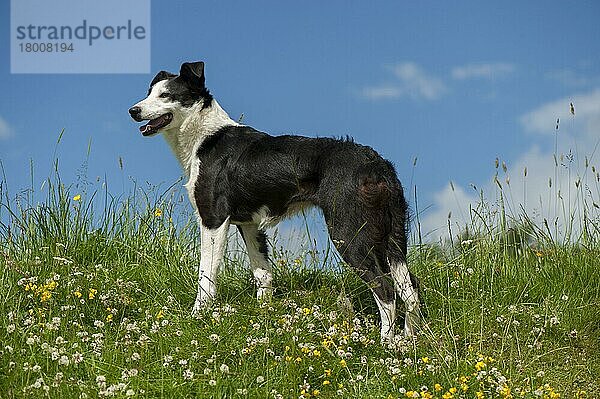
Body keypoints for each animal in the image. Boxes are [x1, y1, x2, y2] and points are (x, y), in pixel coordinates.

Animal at [129, 60, 420, 340]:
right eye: (149, 93)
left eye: (166, 95)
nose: (133, 110)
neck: (205, 137)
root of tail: (377, 163)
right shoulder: (249, 225)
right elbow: (263, 275)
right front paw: (264, 318)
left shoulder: (213, 220)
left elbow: (206, 277)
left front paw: (197, 317)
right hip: (389, 239)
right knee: (410, 288)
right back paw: (408, 341)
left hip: (349, 233)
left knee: (386, 291)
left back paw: (385, 343)